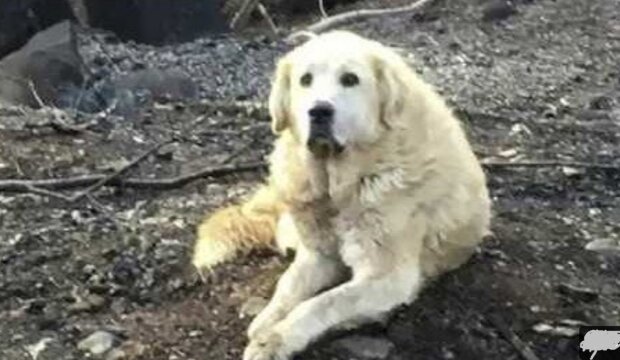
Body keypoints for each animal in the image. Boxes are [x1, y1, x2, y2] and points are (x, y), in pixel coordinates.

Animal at [191, 31, 492, 360]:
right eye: (305, 79)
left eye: (350, 79)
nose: (319, 111)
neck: (338, 184)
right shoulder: (318, 256)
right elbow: (288, 285)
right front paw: (267, 319)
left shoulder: (387, 276)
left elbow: (322, 303)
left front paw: (275, 339)